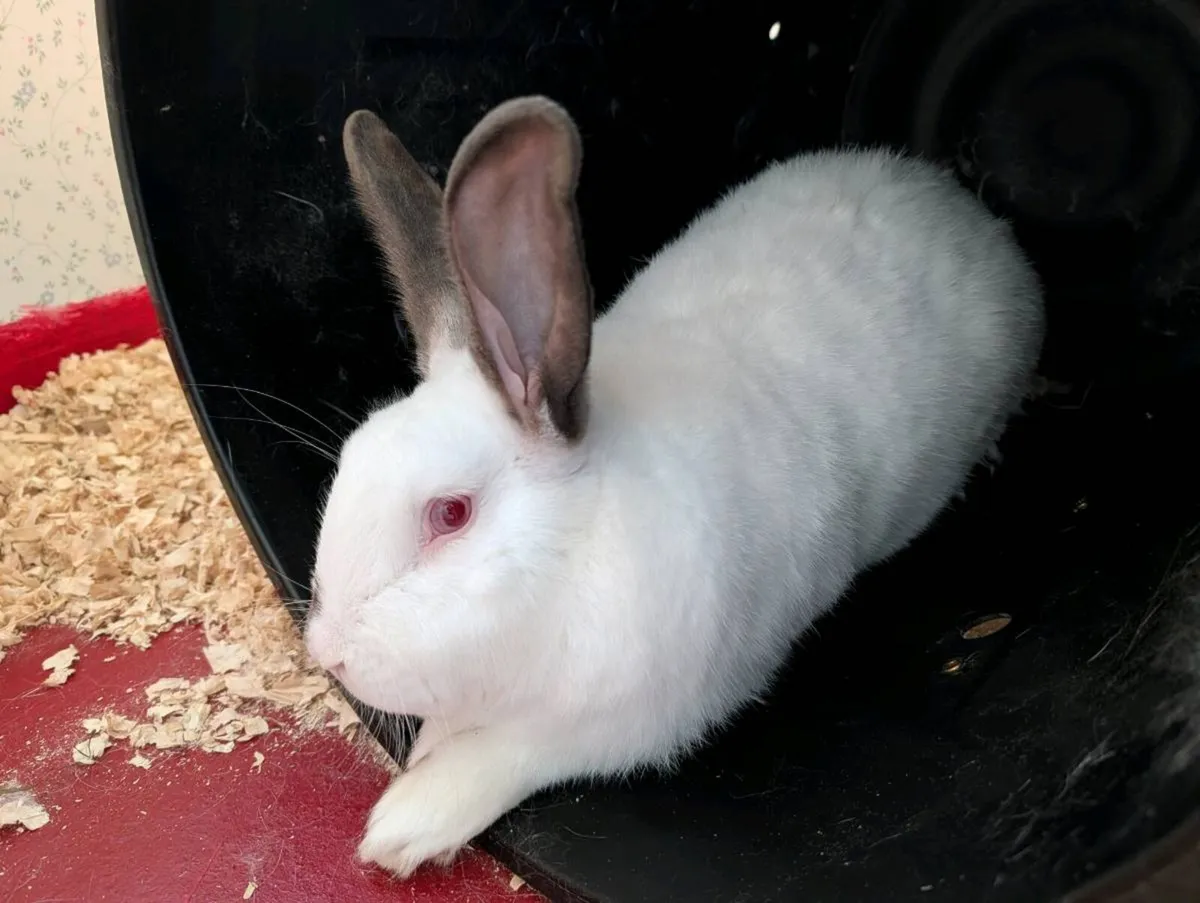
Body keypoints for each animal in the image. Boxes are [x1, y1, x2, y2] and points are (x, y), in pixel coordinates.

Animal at [303, 95, 1045, 878]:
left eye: (450, 513)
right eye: (351, 456)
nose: (327, 652)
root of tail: (963, 207)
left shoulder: (634, 720)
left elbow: (512, 754)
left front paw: (404, 822)